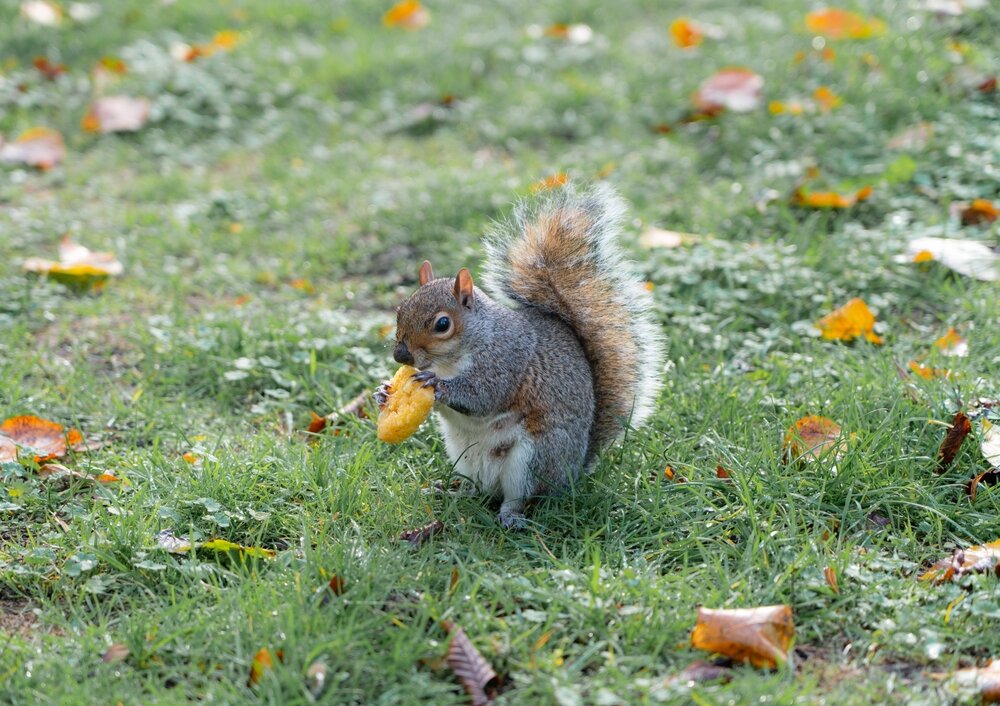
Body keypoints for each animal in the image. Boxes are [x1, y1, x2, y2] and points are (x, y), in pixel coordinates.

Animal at [379, 184, 664, 528]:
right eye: (400, 310)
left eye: (442, 324)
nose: (400, 355)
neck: (451, 360)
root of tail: (574, 471)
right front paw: (384, 393)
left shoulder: (506, 359)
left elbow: (484, 395)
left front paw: (439, 386)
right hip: (464, 456)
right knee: (479, 491)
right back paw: (451, 493)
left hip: (534, 458)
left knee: (521, 496)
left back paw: (510, 517)